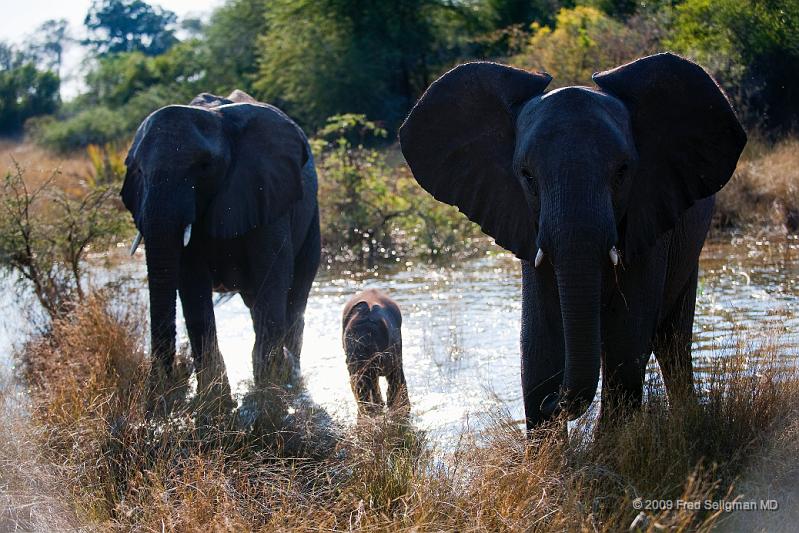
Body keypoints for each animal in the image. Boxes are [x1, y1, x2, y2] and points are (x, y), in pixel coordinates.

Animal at [123, 89, 320, 410]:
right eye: (138, 171)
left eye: (204, 167)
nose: (161, 396)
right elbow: (192, 285)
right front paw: (217, 405)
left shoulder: (266, 190)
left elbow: (273, 277)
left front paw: (267, 399)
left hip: (311, 213)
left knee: (294, 296)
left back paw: (292, 376)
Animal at [404, 53, 748, 432]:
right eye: (527, 176)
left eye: (622, 172)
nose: (554, 401)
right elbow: (539, 344)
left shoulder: (648, 217)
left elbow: (626, 342)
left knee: (671, 339)